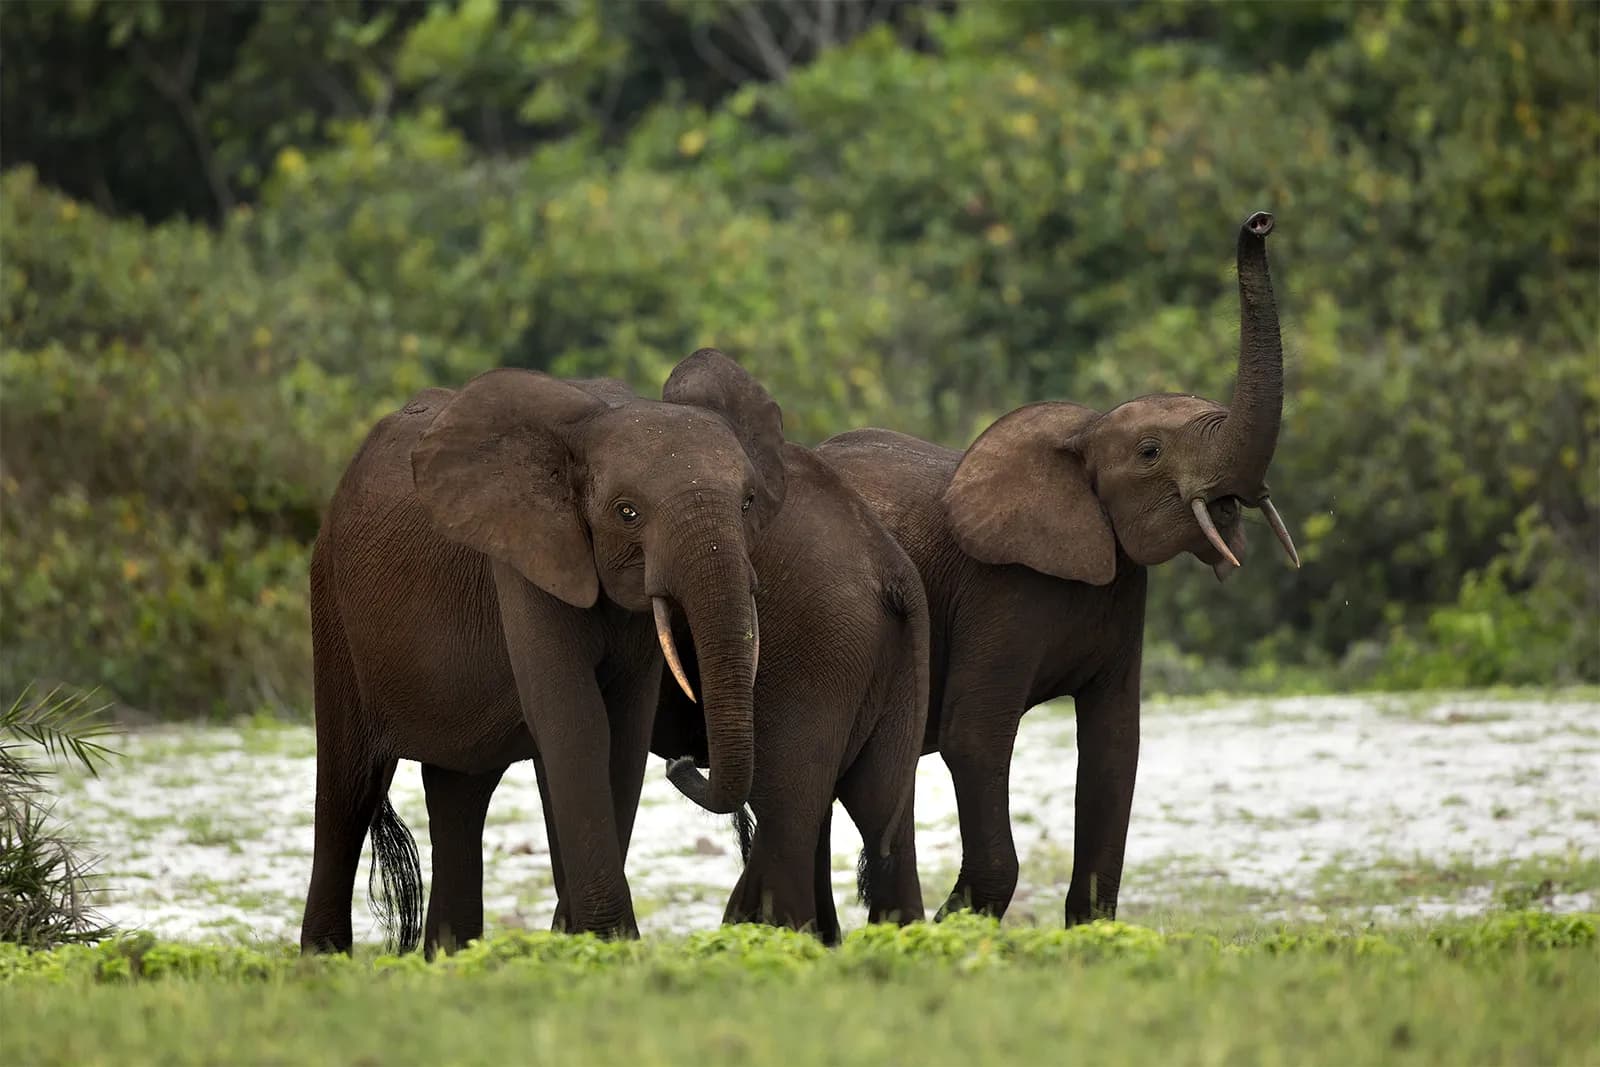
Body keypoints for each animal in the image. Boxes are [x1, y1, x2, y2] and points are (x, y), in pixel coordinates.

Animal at [298, 354, 787, 954]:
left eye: (747, 503)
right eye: (627, 512)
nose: (684, 762)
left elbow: (623, 733)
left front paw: (577, 940)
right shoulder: (525, 557)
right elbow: (574, 721)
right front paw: (610, 944)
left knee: (459, 791)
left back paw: (451, 957)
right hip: (332, 603)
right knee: (348, 788)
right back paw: (324, 960)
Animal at [815, 212, 1298, 927]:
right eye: (1150, 452)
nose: (1259, 222)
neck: (1083, 435)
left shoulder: (1122, 588)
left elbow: (1113, 745)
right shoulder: (999, 590)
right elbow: (974, 736)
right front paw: (958, 924)